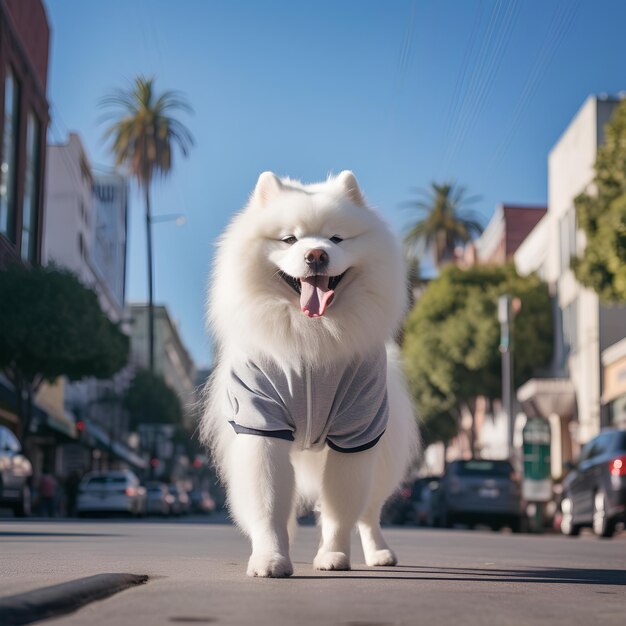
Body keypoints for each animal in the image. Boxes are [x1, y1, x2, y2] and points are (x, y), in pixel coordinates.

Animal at [201, 169, 414, 576]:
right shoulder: (262, 425)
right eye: (290, 239)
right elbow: (269, 504)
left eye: (336, 238)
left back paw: (380, 553)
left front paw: (333, 556)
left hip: (380, 456)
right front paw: (270, 558)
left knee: (369, 511)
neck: (311, 339)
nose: (316, 254)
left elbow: (340, 508)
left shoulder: (355, 433)